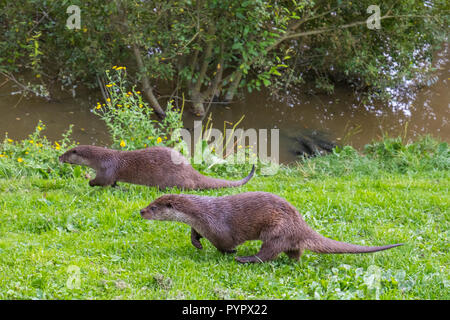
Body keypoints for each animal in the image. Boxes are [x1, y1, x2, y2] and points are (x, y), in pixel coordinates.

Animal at [140, 192, 400, 262]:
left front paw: (231, 252)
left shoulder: (218, 228)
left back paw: (245, 259)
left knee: (267, 254)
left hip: (276, 232)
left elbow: (225, 244)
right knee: (295, 251)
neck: (201, 213)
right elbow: (194, 233)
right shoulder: (201, 224)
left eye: (153, 207)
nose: (141, 211)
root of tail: (301, 225)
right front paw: (195, 241)